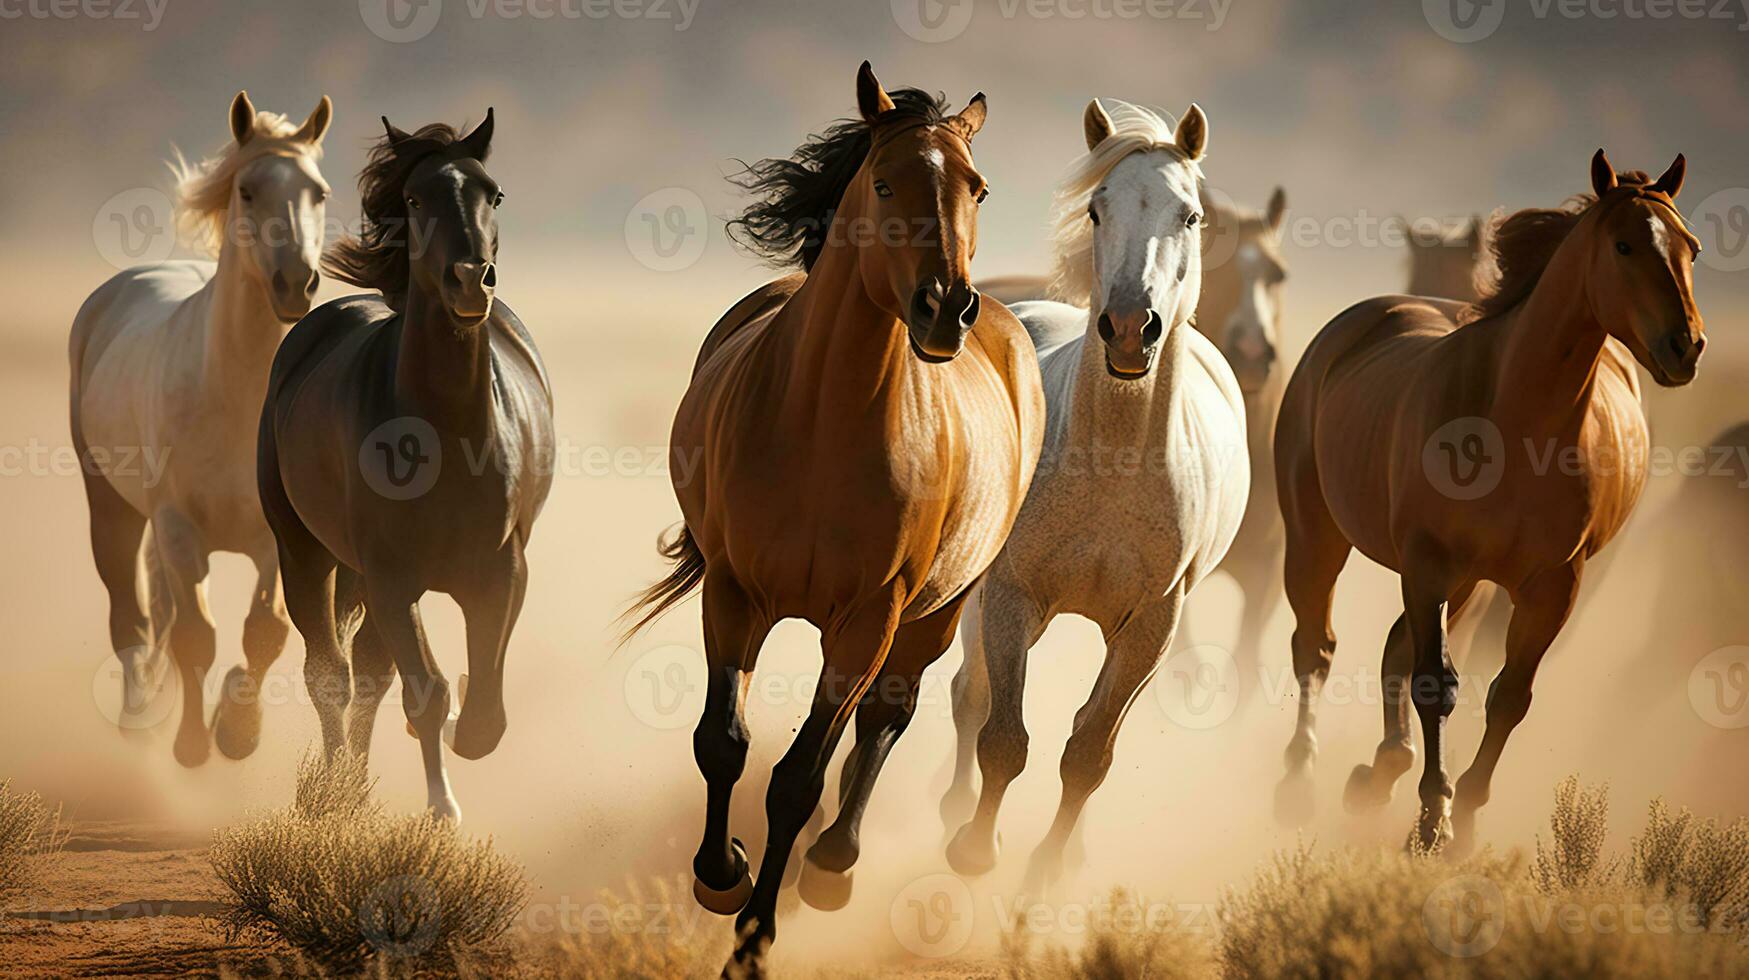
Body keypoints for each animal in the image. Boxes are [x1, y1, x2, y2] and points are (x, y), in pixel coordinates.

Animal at [71, 91, 332, 766]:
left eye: (318, 192)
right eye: (247, 190)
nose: (297, 283)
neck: (234, 403)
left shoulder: (276, 539)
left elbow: (265, 631)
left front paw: (238, 730)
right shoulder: (177, 526)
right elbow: (196, 635)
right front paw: (192, 743)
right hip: (111, 506)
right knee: (132, 620)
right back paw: (140, 722)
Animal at [253, 111, 549, 822]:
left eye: (494, 193)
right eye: (414, 199)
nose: (471, 278)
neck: (446, 434)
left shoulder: (502, 573)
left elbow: (483, 712)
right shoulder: (393, 577)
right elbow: (428, 691)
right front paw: (442, 808)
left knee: (367, 675)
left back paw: (357, 787)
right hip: (306, 552)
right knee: (330, 674)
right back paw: (335, 794)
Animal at [626, 65, 1042, 973]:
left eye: (976, 187)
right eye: (883, 181)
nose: (943, 309)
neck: (822, 428)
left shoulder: (866, 621)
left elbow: (799, 775)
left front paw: (753, 939)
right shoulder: (735, 595)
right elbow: (722, 742)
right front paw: (720, 875)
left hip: (936, 614)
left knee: (885, 718)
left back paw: (831, 863)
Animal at [937, 97, 1252, 889]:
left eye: (1190, 215)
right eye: (1097, 209)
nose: (1130, 329)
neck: (1111, 464)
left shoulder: (1150, 625)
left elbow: (1089, 752)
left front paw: (1049, 871)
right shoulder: (1011, 594)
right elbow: (1001, 737)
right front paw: (974, 851)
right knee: (967, 696)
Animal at [1273, 147, 1707, 850]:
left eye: (1691, 247)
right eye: (1623, 245)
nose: (1685, 347)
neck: (1518, 427)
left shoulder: (1551, 586)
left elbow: (1508, 696)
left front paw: (1466, 816)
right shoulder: (1428, 563)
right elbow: (1435, 685)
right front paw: (1432, 819)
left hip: (1470, 583)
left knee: (1392, 648)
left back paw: (1378, 773)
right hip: (1321, 535)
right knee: (1317, 645)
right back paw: (1301, 781)